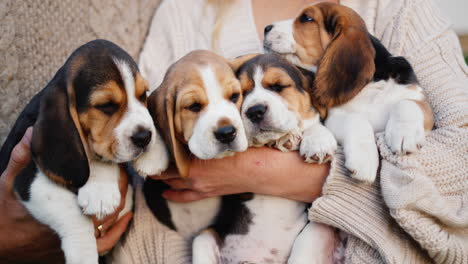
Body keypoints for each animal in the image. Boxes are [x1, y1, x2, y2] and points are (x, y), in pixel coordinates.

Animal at [0, 39, 168, 264]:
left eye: (143, 95)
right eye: (106, 105)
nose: (144, 137)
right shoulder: (24, 178)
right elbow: (71, 213)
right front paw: (84, 253)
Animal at [266, 1, 434, 184]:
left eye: (307, 18)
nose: (266, 28)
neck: (369, 88)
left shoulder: (417, 98)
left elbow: (407, 103)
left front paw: (404, 134)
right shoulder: (335, 117)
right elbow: (356, 119)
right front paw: (364, 161)